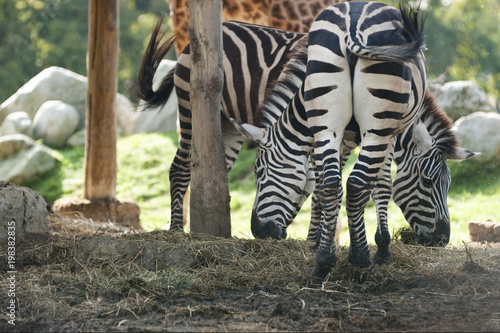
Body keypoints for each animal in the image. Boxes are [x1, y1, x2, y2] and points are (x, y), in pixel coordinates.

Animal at [230, 1, 476, 282]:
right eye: (429, 181)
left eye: (447, 184)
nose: (442, 239)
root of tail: (353, 22)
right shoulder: (388, 136)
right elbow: (381, 185)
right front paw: (381, 248)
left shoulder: (332, 136)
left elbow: (323, 187)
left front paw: (318, 244)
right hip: (378, 124)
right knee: (357, 183)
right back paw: (360, 257)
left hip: (330, 116)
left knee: (332, 184)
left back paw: (323, 264)